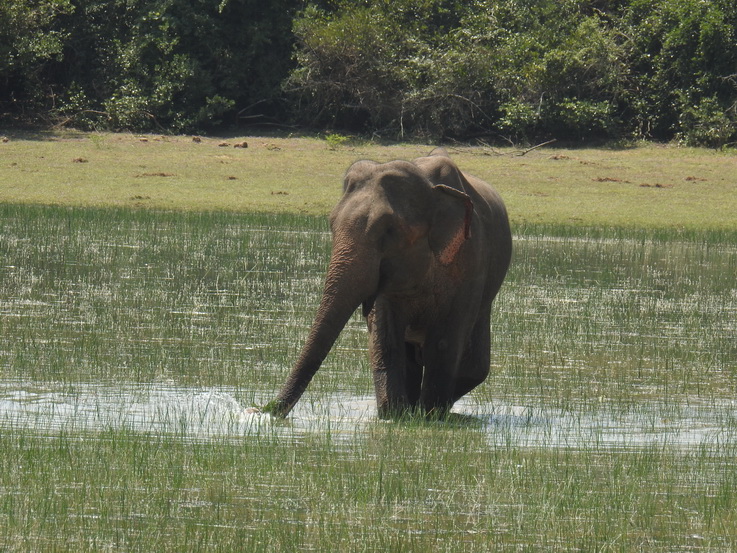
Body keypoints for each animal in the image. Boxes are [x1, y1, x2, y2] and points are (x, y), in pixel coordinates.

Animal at [264, 149, 512, 416]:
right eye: (332, 224)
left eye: (389, 231)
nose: (264, 410)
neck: (430, 187)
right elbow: (386, 339)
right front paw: (394, 416)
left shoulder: (470, 262)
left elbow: (444, 343)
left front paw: (429, 416)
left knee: (474, 367)